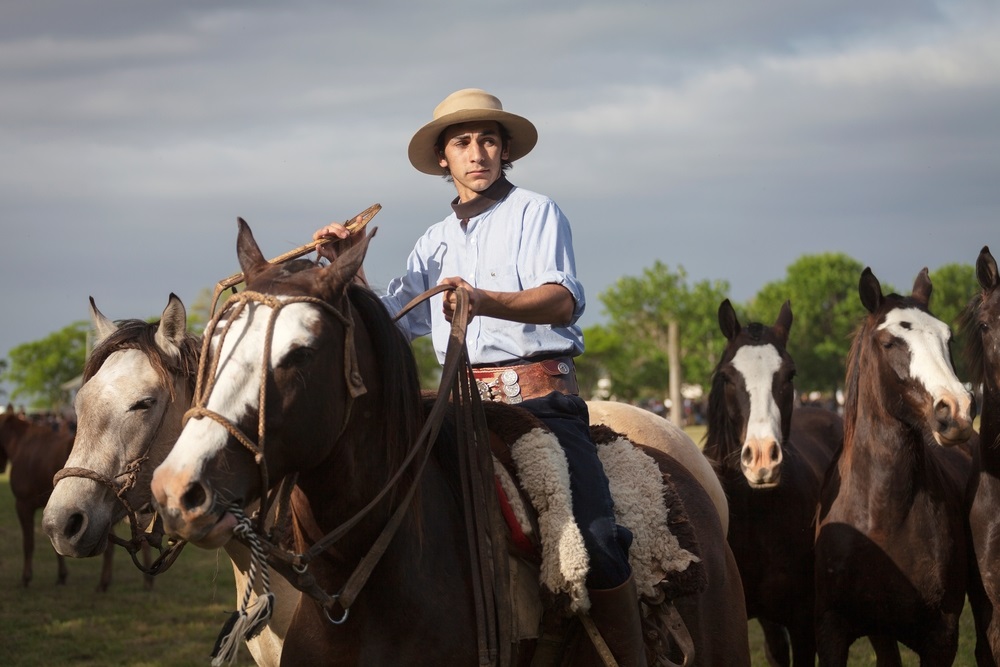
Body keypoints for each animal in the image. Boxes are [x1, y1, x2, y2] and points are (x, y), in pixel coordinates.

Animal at [0, 410, 114, 588]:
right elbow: (56, 547)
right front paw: (61, 576)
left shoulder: (23, 505)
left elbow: (28, 543)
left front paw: (26, 577)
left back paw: (104, 583)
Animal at [816, 268, 972, 667]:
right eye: (889, 343)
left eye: (948, 337)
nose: (957, 410)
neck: (882, 516)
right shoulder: (834, 631)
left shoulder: (941, 638)